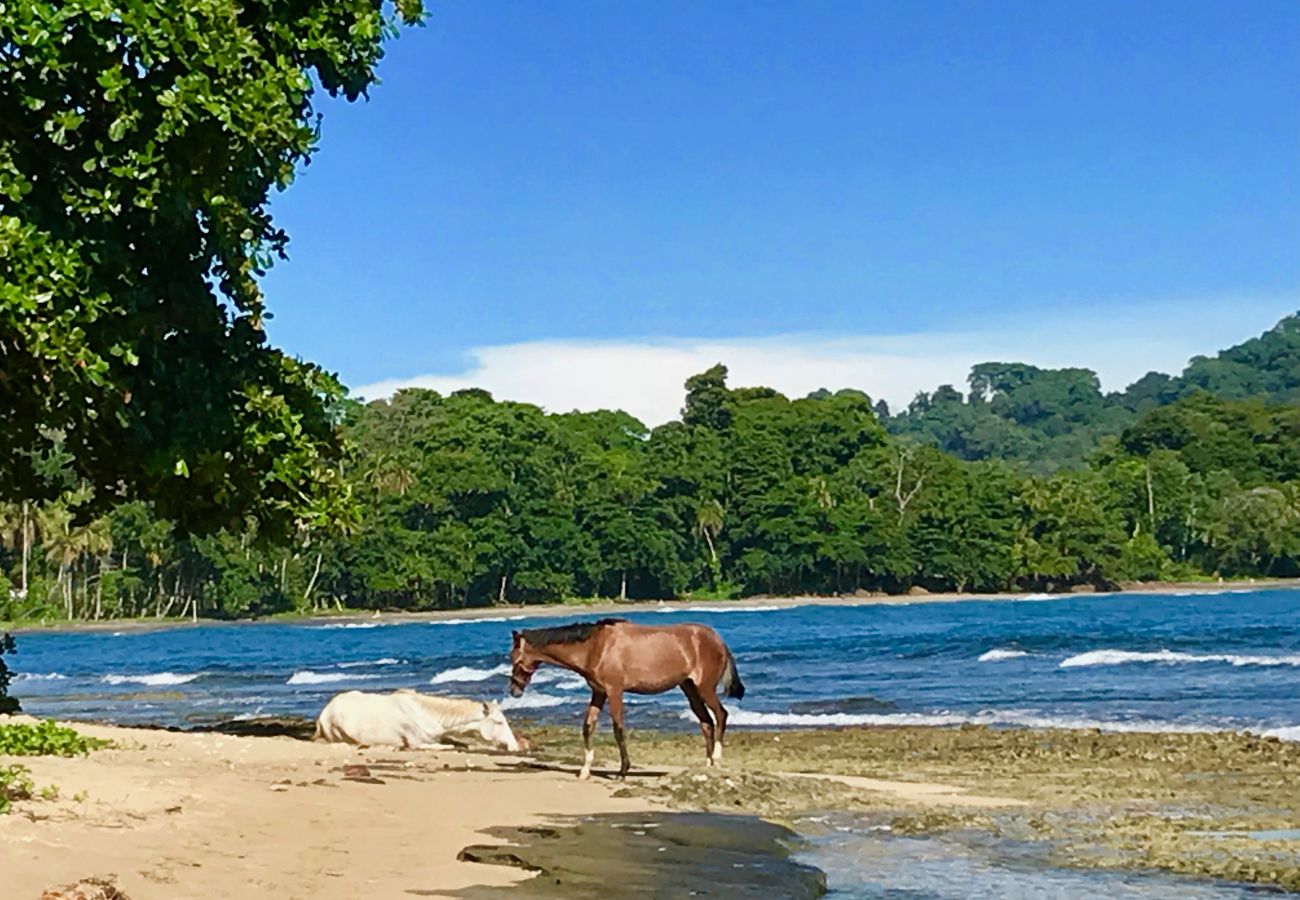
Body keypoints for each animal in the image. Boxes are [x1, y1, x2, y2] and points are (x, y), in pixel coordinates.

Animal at [313, 686, 517, 754]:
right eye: (499, 722)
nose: (515, 747)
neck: (426, 715)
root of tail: (325, 711)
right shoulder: (418, 743)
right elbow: (449, 746)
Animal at [509, 616, 748, 775]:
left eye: (515, 658)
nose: (513, 690)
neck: (596, 646)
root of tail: (718, 640)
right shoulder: (598, 692)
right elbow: (588, 726)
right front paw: (585, 769)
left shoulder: (614, 691)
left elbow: (618, 729)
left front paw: (623, 769)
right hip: (690, 689)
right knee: (706, 722)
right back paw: (708, 765)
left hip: (705, 688)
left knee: (721, 715)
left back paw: (716, 758)